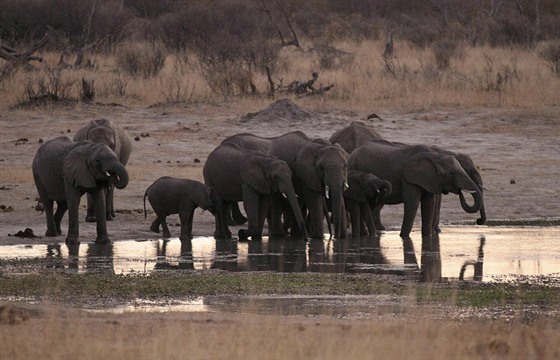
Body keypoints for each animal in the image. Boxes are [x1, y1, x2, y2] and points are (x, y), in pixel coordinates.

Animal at [348, 140, 484, 239]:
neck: (435, 155)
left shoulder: (429, 179)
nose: (478, 221)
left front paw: (427, 237)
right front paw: (403, 237)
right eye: (452, 173)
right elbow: (412, 203)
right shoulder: (408, 178)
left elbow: (429, 204)